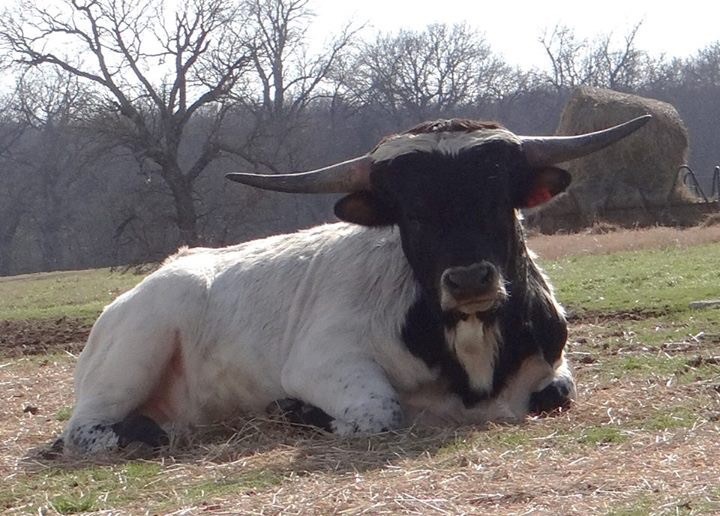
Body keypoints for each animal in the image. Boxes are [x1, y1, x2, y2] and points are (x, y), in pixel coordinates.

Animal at [59, 115, 650, 455]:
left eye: (497, 195)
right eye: (410, 212)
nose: (468, 279)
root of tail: (170, 266)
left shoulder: (553, 365)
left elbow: (556, 394)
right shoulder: (321, 362)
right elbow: (381, 413)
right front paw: (302, 414)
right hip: (139, 346)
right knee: (82, 429)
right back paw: (139, 436)